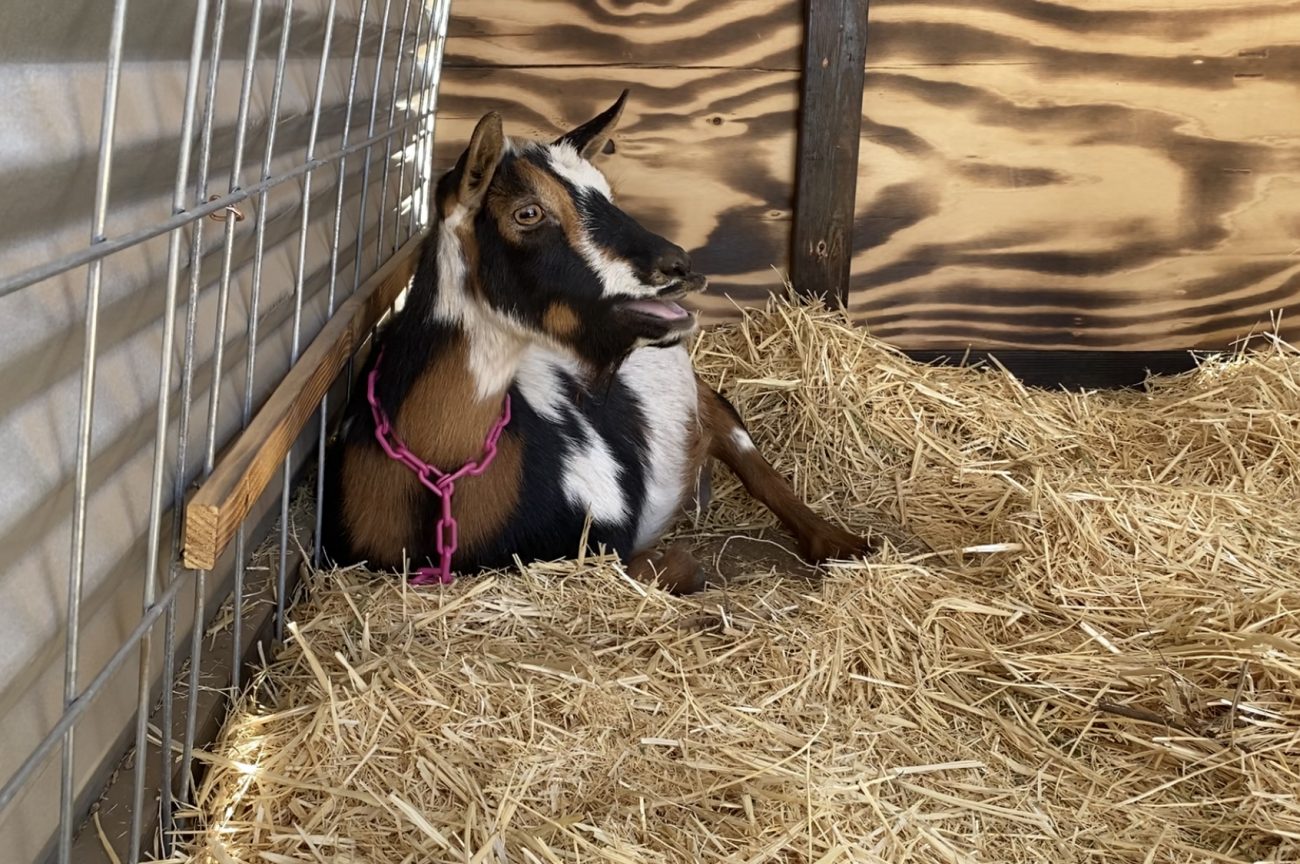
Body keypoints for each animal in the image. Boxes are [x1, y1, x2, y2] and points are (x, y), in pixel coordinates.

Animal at [322, 94, 873, 592]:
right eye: (528, 213)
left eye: (606, 192)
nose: (679, 266)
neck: (440, 470)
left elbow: (659, 567)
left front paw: (685, 563)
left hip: (702, 398)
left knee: (749, 455)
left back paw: (844, 544)